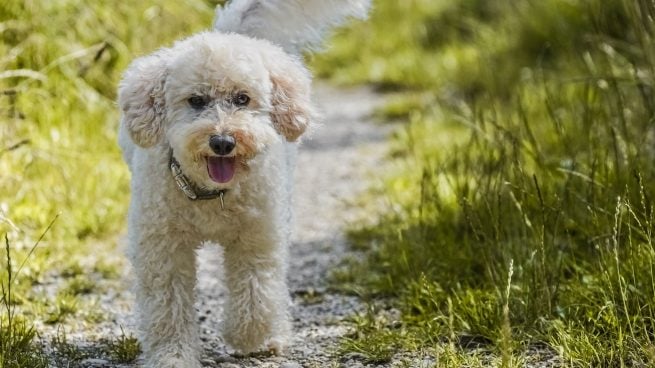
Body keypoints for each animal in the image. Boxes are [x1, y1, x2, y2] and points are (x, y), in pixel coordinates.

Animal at [117, 1, 368, 366]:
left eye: (242, 99)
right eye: (196, 100)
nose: (222, 141)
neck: (210, 193)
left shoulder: (256, 237)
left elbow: (256, 292)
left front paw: (249, 337)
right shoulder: (163, 247)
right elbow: (168, 305)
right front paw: (172, 355)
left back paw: (274, 336)